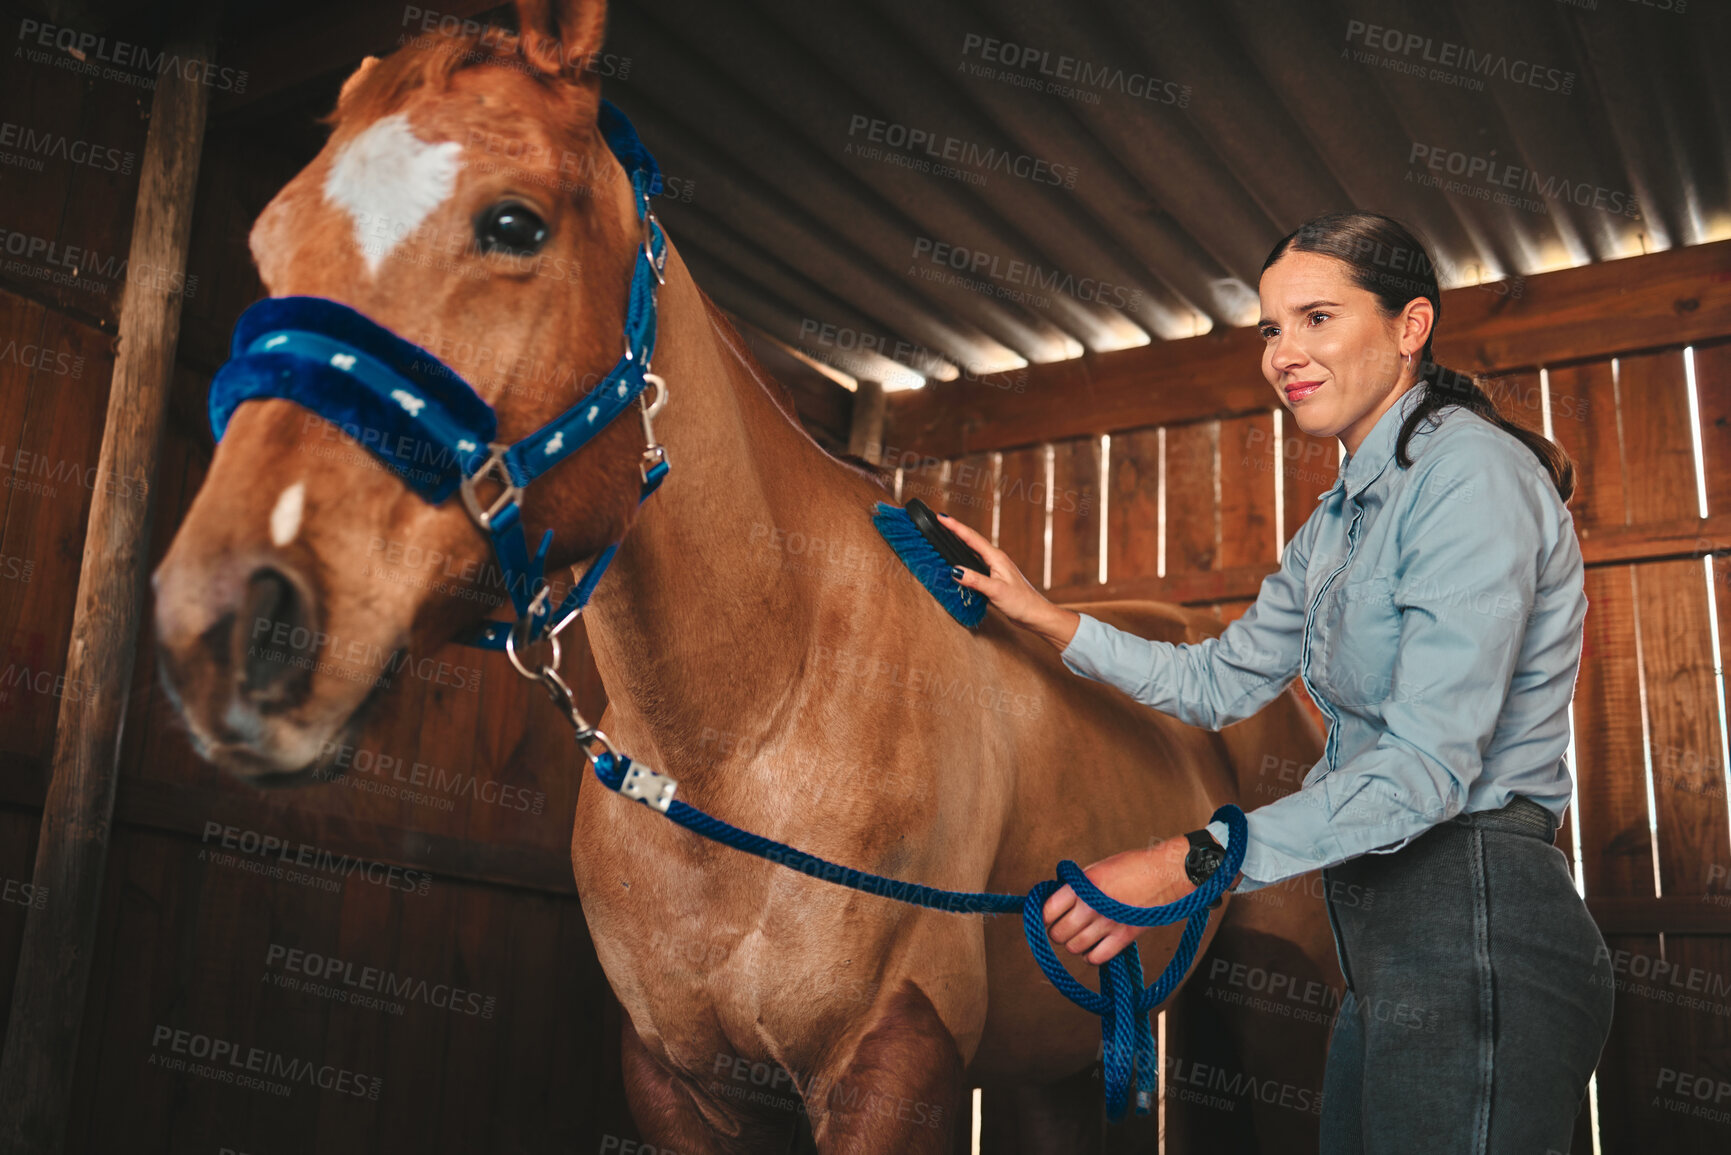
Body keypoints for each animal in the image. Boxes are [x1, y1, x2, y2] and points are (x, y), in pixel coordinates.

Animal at [148, 4, 1336, 1149]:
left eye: (515, 224)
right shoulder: (678, 1083)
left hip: (1275, 1009)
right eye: (270, 239)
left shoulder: (893, 1068)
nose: (224, 626)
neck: (743, 736)